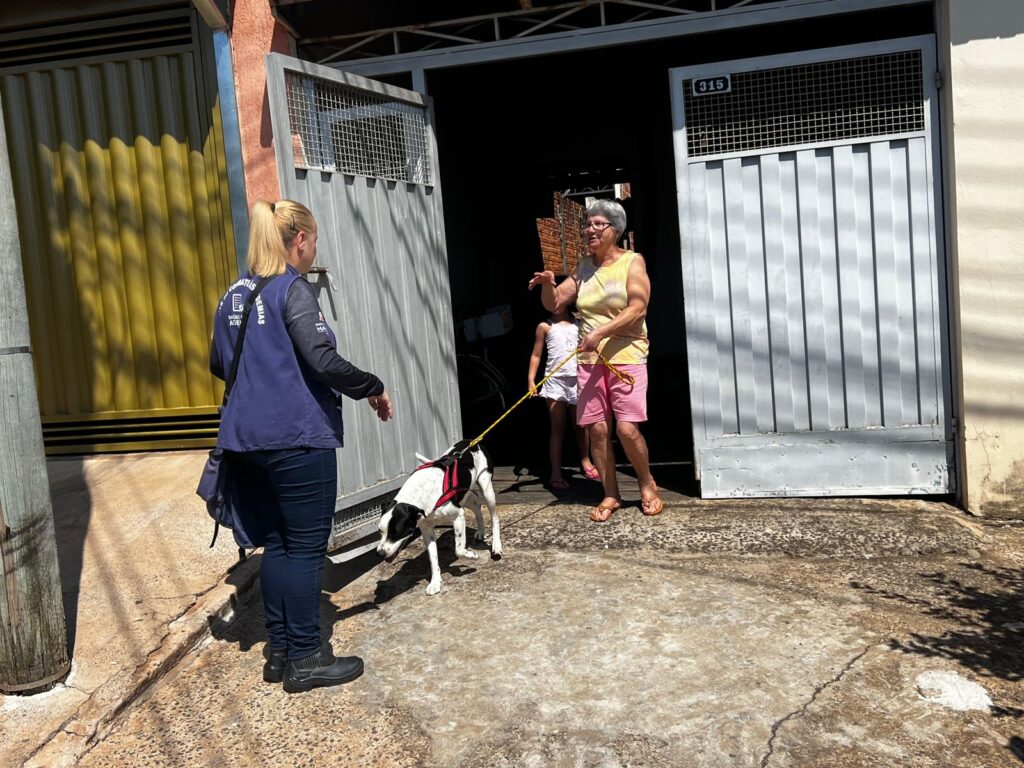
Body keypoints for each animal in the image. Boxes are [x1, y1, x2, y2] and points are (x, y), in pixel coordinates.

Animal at [378, 442, 501, 598]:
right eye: (380, 531)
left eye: (396, 533)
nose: (380, 553)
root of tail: (472, 441)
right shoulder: (426, 529)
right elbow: (433, 559)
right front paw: (435, 583)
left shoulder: (458, 516)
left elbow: (458, 550)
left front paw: (471, 556)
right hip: (463, 495)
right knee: (476, 506)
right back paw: (480, 531)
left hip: (486, 489)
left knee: (494, 517)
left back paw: (496, 545)